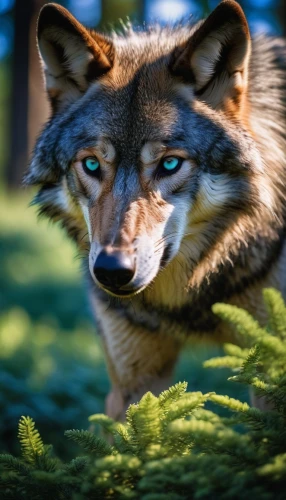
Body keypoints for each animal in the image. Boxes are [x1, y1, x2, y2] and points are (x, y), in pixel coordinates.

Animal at [25, 0, 286, 418]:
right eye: (92, 164)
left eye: (169, 164)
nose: (112, 271)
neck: (188, 300)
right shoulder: (134, 380)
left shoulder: (271, 373)